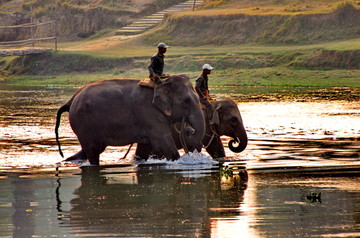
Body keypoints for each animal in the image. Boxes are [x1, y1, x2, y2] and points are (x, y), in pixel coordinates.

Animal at [54, 75, 204, 165]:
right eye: (187, 100)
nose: (189, 130)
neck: (162, 83)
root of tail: (71, 100)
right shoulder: (149, 113)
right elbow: (164, 143)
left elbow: (145, 148)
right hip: (83, 124)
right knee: (93, 151)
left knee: (90, 150)